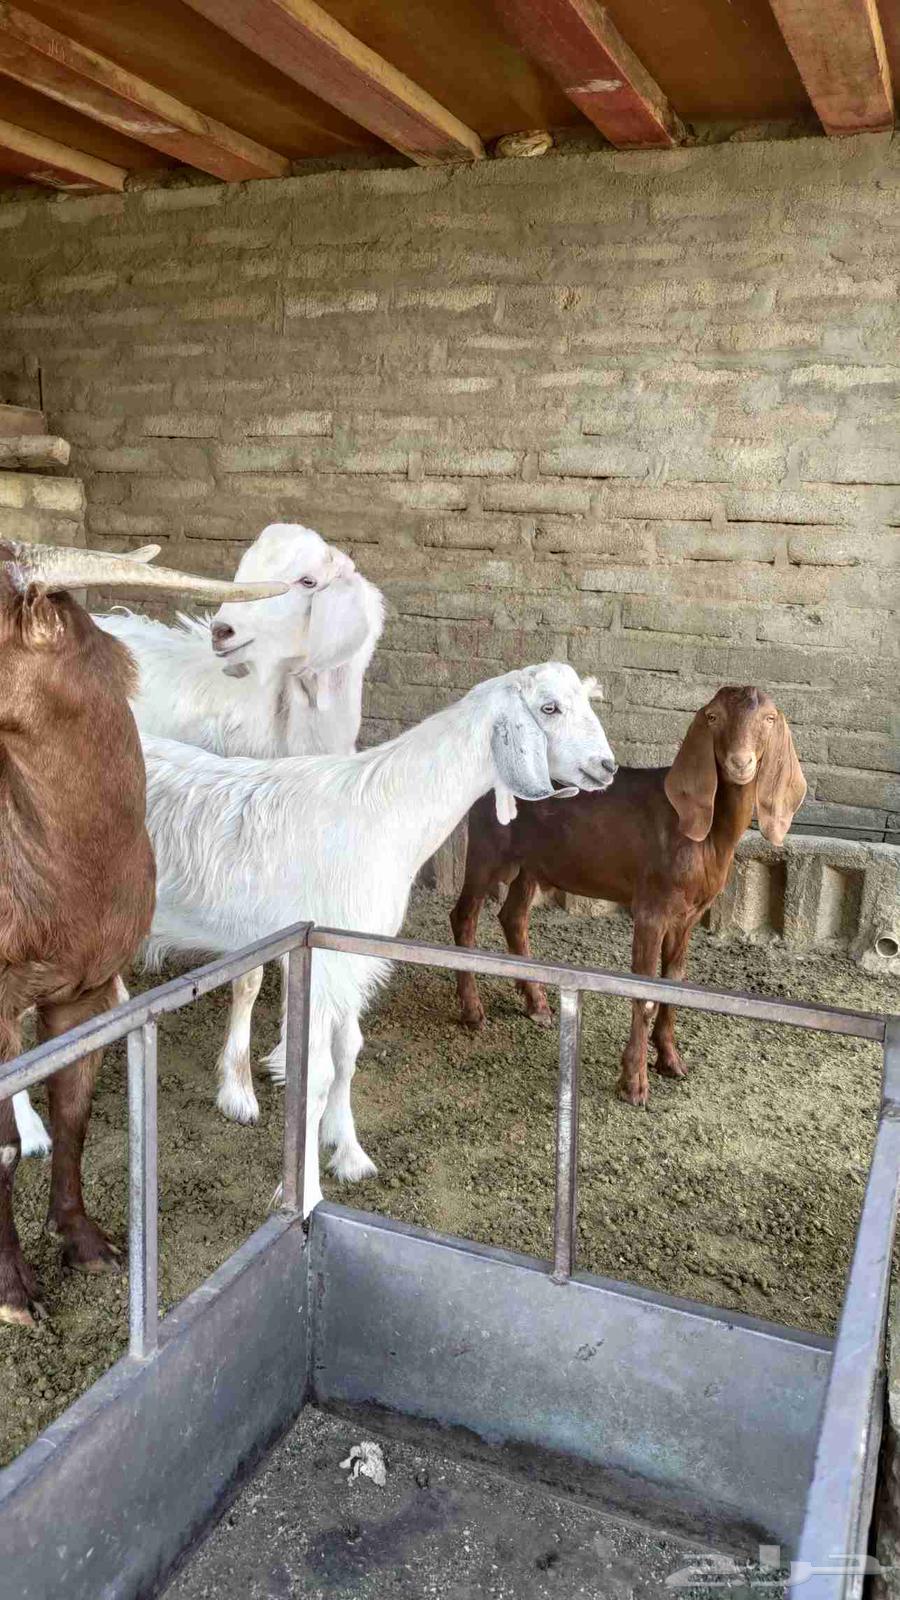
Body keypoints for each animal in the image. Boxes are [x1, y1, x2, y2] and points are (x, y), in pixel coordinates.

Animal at [141, 665, 617, 1211]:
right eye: (549, 708)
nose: (608, 766)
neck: (384, 815)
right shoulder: (320, 963)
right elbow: (316, 1074)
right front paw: (305, 1195)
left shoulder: (352, 957)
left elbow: (348, 1055)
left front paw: (348, 1155)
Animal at [451, 687, 806, 1108]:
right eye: (713, 717)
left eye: (769, 719)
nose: (740, 762)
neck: (703, 834)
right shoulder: (651, 908)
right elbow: (644, 987)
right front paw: (634, 1083)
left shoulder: (688, 915)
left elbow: (674, 980)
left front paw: (670, 1060)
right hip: (489, 845)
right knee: (465, 915)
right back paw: (473, 1011)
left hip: (532, 862)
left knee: (513, 916)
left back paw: (536, 1004)